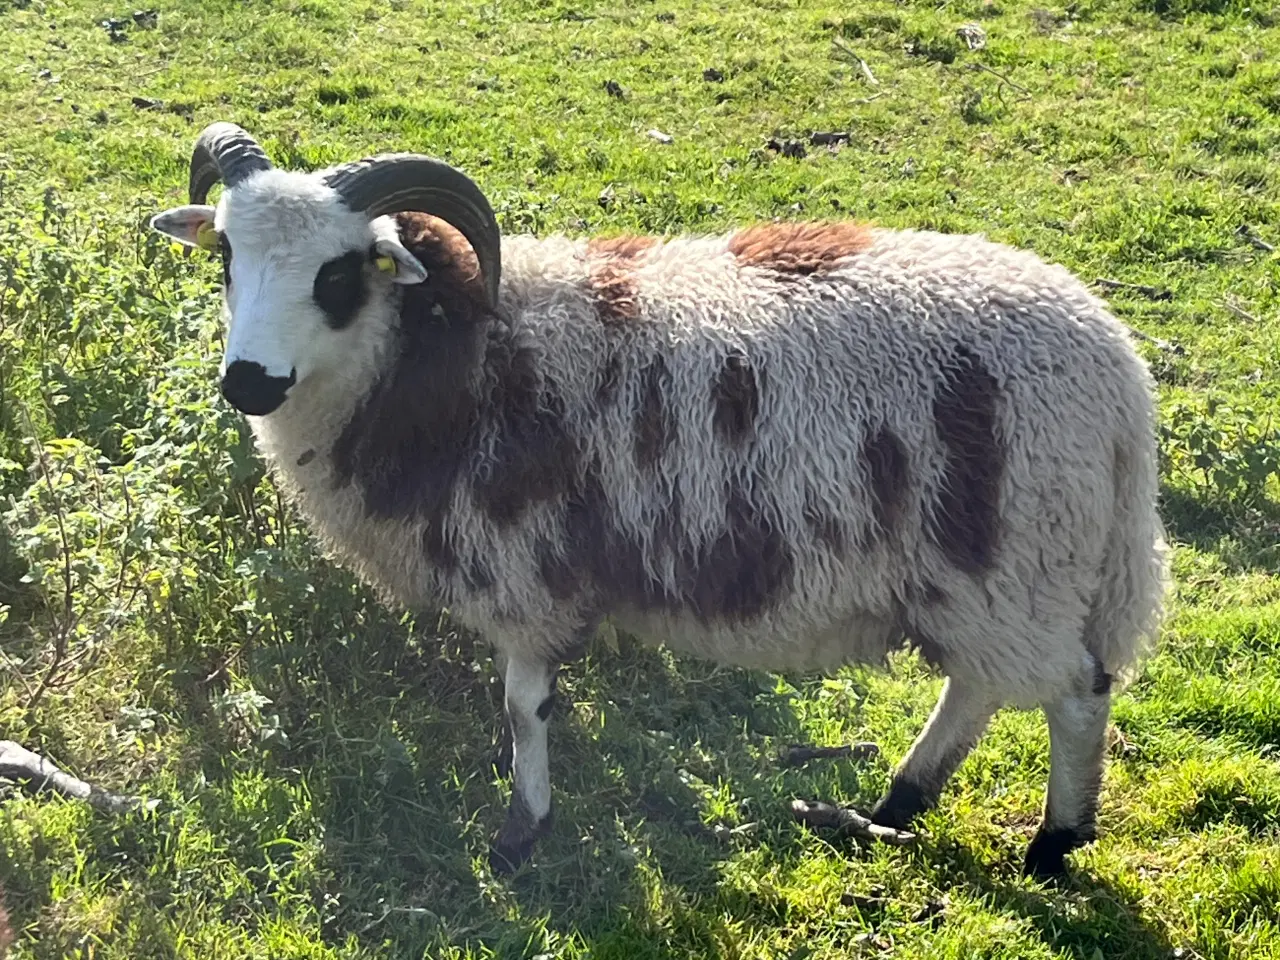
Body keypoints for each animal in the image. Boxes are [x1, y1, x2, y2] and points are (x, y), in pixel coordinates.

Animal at [149, 124, 1172, 885]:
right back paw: (893, 804)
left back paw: (1053, 844)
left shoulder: (526, 576)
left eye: (342, 271)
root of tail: (1117, 372)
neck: (455, 351)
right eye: (227, 255)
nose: (247, 382)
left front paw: (520, 834)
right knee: (981, 685)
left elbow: (524, 708)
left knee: (1076, 691)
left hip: (1017, 557)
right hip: (990, 577)